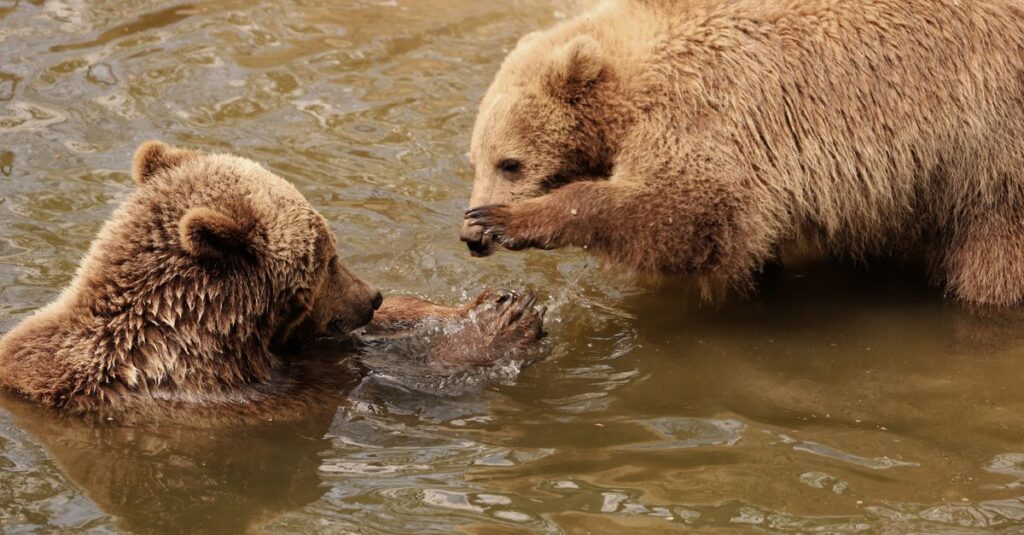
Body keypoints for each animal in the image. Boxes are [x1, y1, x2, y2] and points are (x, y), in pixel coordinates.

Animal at [0, 141, 546, 416]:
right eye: (327, 257)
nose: (371, 296)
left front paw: (485, 304)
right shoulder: (242, 401)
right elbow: (377, 384)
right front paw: (504, 324)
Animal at [460, 0, 1024, 306]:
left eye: (511, 163)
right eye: (475, 159)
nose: (470, 236)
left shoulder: (712, 104)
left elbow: (688, 211)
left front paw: (511, 219)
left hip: (991, 151)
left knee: (993, 262)